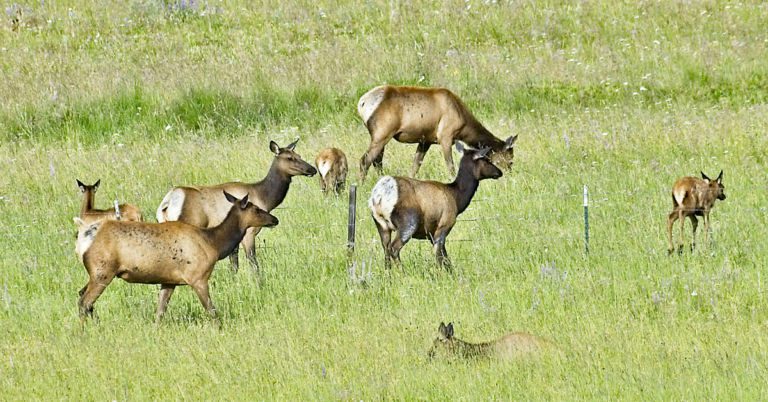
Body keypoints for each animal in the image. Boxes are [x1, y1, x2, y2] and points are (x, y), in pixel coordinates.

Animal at [74, 191, 279, 324]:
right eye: (257, 209)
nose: (275, 219)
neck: (214, 244)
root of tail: (84, 238)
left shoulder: (169, 281)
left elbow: (160, 312)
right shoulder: (198, 277)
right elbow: (211, 310)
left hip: (96, 273)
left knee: (82, 295)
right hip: (103, 271)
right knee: (84, 302)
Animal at [156, 139, 316, 272]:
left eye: (299, 155)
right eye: (289, 158)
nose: (312, 169)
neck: (264, 197)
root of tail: (167, 203)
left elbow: (234, 265)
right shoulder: (249, 232)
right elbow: (253, 263)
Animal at [357, 85, 518, 181]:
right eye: (510, 160)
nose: (509, 175)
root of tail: (362, 103)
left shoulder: (425, 141)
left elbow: (415, 166)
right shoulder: (445, 136)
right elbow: (451, 166)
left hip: (380, 136)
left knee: (377, 160)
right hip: (382, 133)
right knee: (365, 160)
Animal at [368, 142, 502, 269]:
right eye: (487, 160)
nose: (499, 172)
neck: (457, 197)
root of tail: (379, 195)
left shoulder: (431, 234)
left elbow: (446, 258)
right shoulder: (443, 226)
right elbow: (440, 257)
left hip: (381, 225)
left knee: (386, 250)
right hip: (409, 223)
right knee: (394, 249)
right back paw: (402, 273)